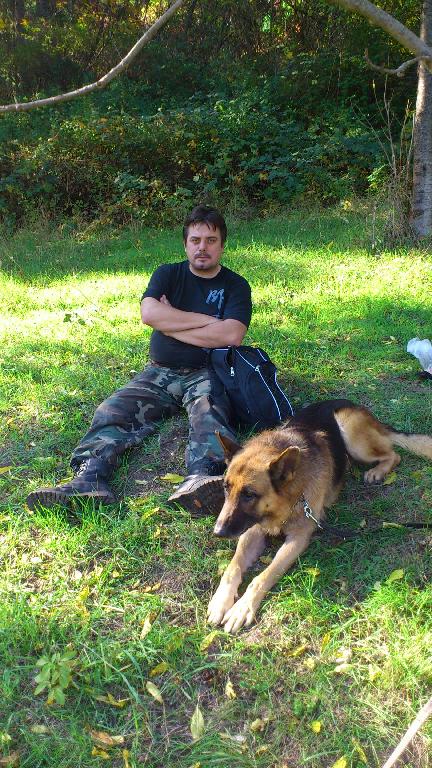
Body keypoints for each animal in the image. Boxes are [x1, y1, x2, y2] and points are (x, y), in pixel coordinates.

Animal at [207, 399, 432, 634]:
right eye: (226, 488)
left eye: (249, 495)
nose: (218, 532)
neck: (291, 498)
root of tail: (356, 406)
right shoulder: (252, 530)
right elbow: (232, 568)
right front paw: (221, 601)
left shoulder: (298, 539)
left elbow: (264, 575)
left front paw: (242, 608)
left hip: (352, 435)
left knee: (393, 455)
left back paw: (377, 471)